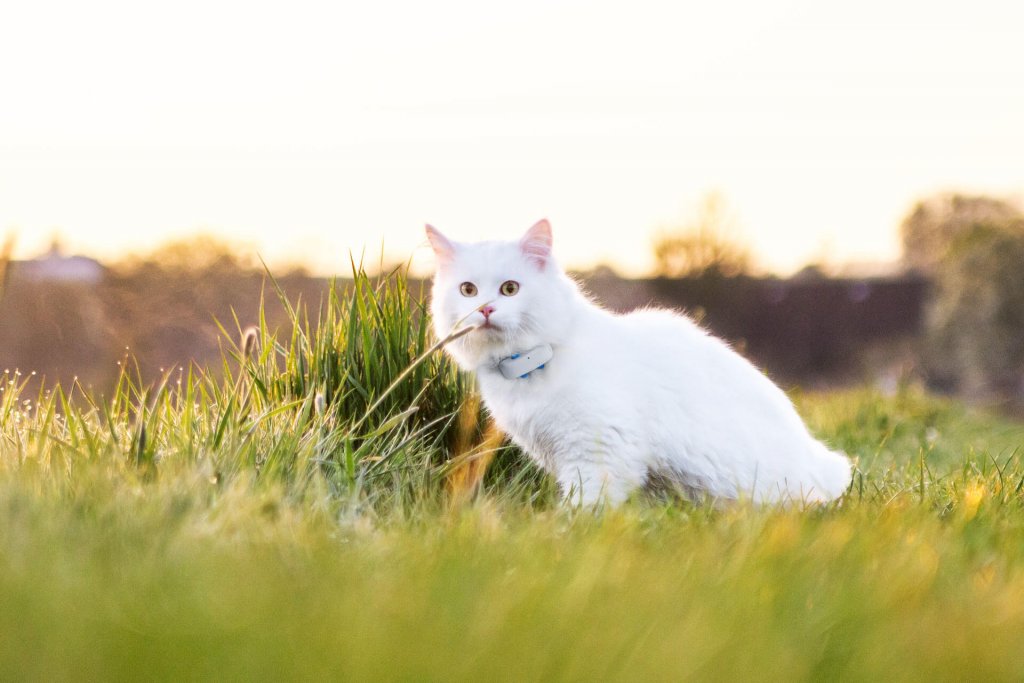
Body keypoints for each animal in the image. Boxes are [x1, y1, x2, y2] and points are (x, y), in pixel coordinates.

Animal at [428, 220, 851, 507]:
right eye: (468, 290)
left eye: (510, 289)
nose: (485, 309)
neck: (531, 364)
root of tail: (820, 460)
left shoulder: (598, 453)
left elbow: (583, 508)